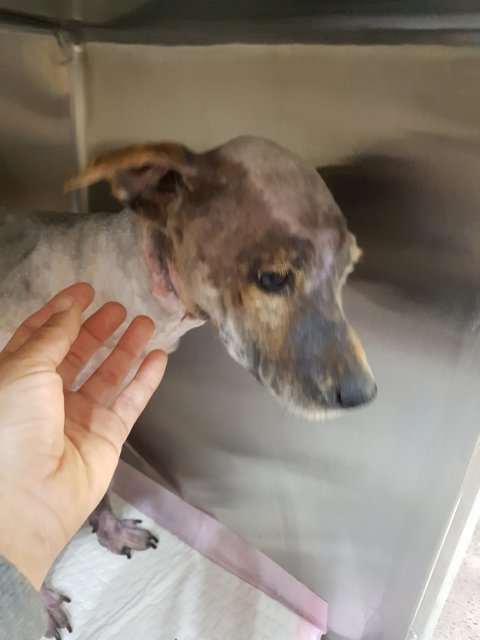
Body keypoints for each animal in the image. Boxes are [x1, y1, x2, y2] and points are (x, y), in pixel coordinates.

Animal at [0, 136, 376, 637]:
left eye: (348, 272)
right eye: (272, 278)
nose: (361, 395)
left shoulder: (104, 417)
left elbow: (97, 487)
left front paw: (110, 529)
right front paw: (37, 603)